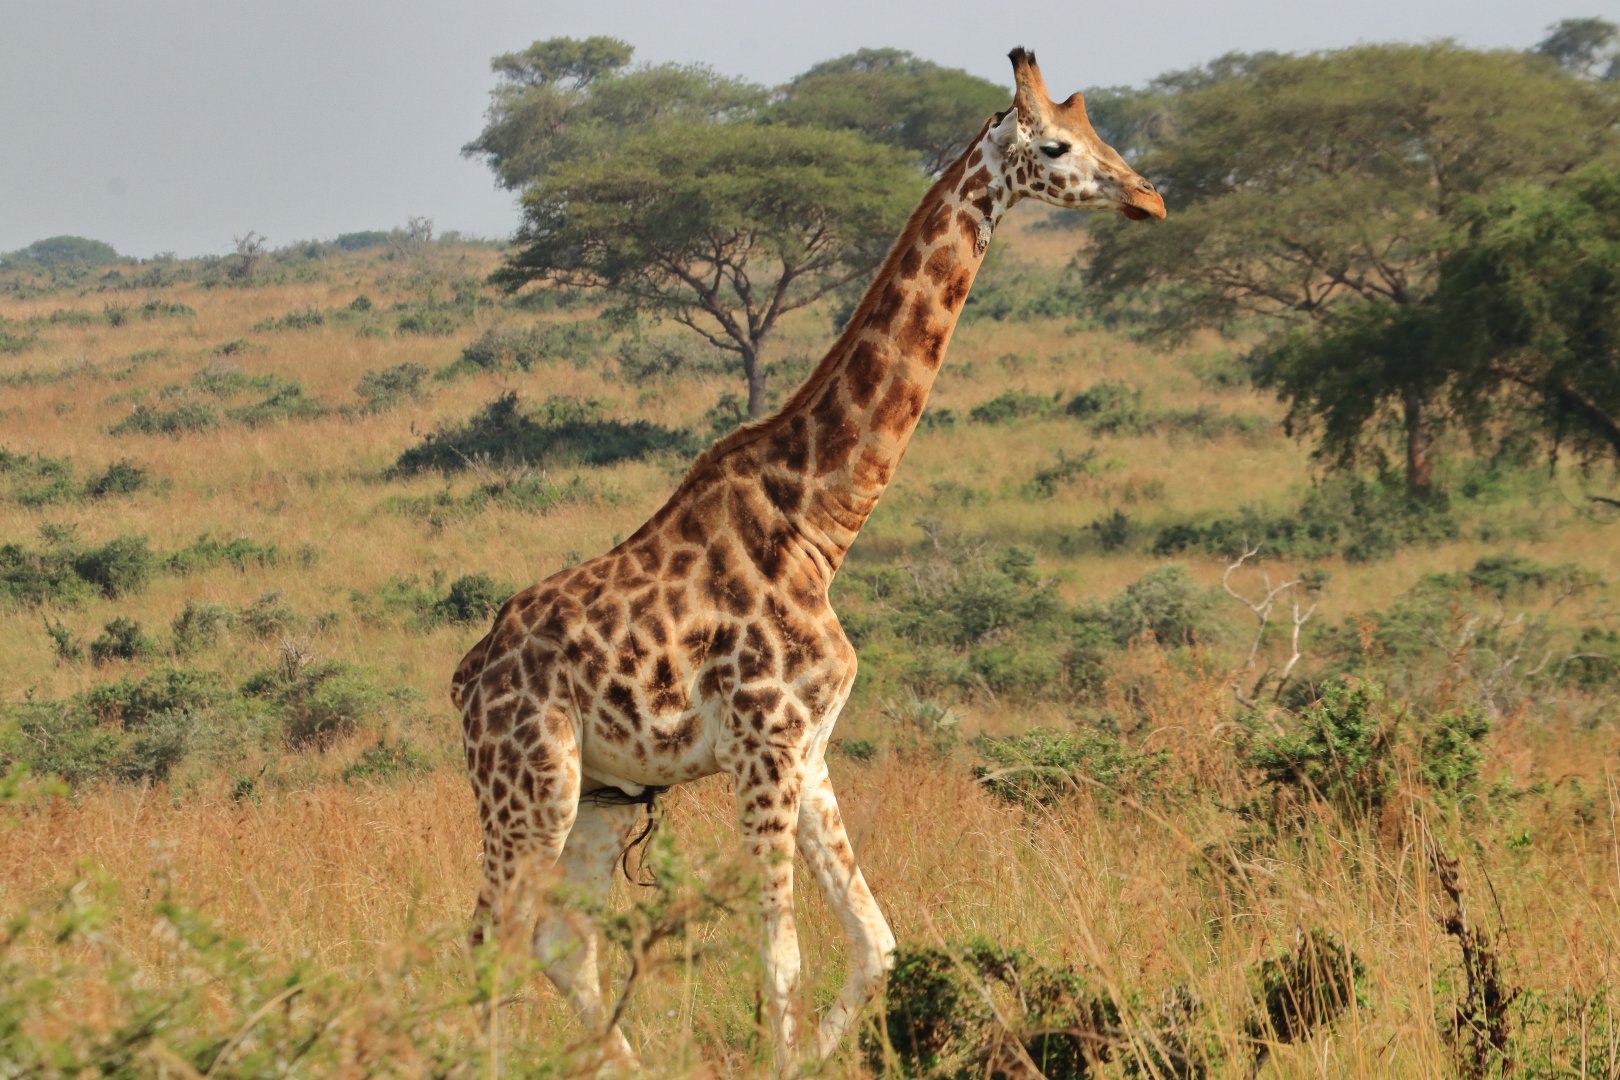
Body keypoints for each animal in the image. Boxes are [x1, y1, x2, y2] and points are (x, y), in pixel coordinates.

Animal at [450, 47, 1166, 1071]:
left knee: (555, 940)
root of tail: (466, 679)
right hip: (529, 782)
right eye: (1061, 145)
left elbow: (876, 945)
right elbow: (782, 956)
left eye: (1100, 129)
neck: (818, 523)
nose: (1149, 197)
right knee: (487, 938)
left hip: (604, 794)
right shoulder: (765, 745)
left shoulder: (812, 750)